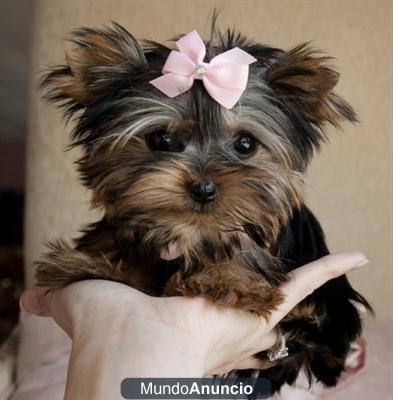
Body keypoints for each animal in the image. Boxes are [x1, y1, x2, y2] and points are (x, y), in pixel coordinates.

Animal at [35, 21, 370, 394]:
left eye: (245, 143)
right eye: (162, 139)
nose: (204, 187)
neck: (192, 232)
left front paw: (227, 278)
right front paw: (87, 261)